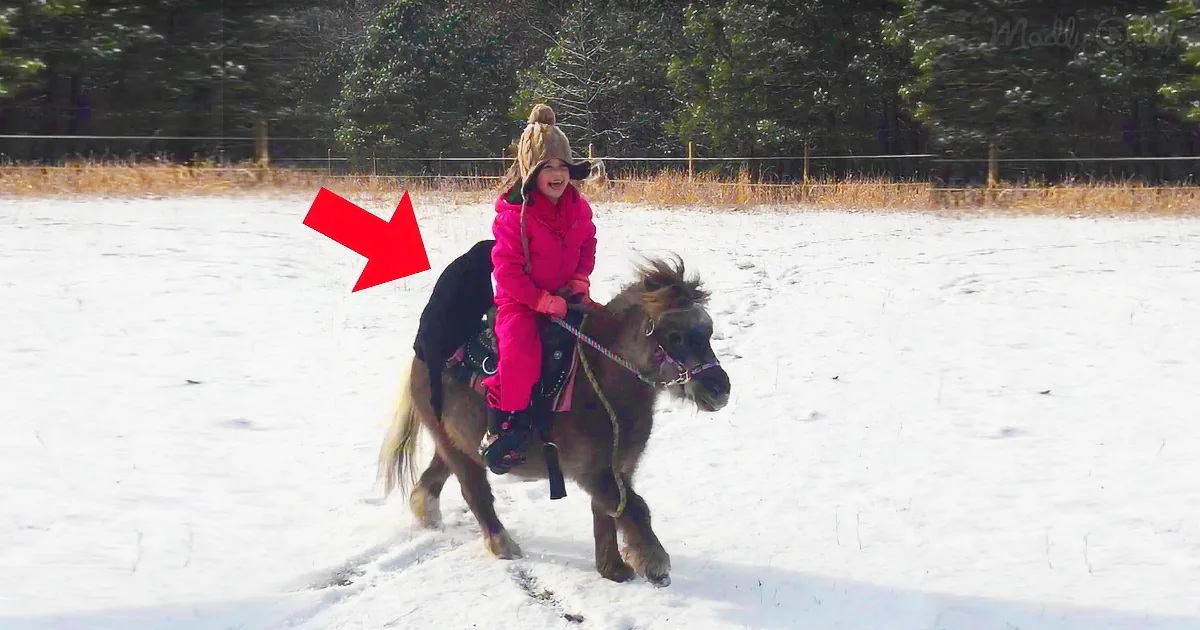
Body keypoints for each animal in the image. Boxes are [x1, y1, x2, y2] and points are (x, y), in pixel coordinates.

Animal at [376, 254, 731, 586]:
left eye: (708, 331)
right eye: (675, 335)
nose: (720, 390)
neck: (602, 379)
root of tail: (423, 355)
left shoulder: (618, 468)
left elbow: (607, 511)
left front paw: (613, 568)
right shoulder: (592, 471)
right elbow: (633, 507)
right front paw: (654, 563)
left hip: (456, 442)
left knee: (436, 477)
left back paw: (427, 514)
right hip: (456, 448)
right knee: (475, 492)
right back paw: (502, 544)